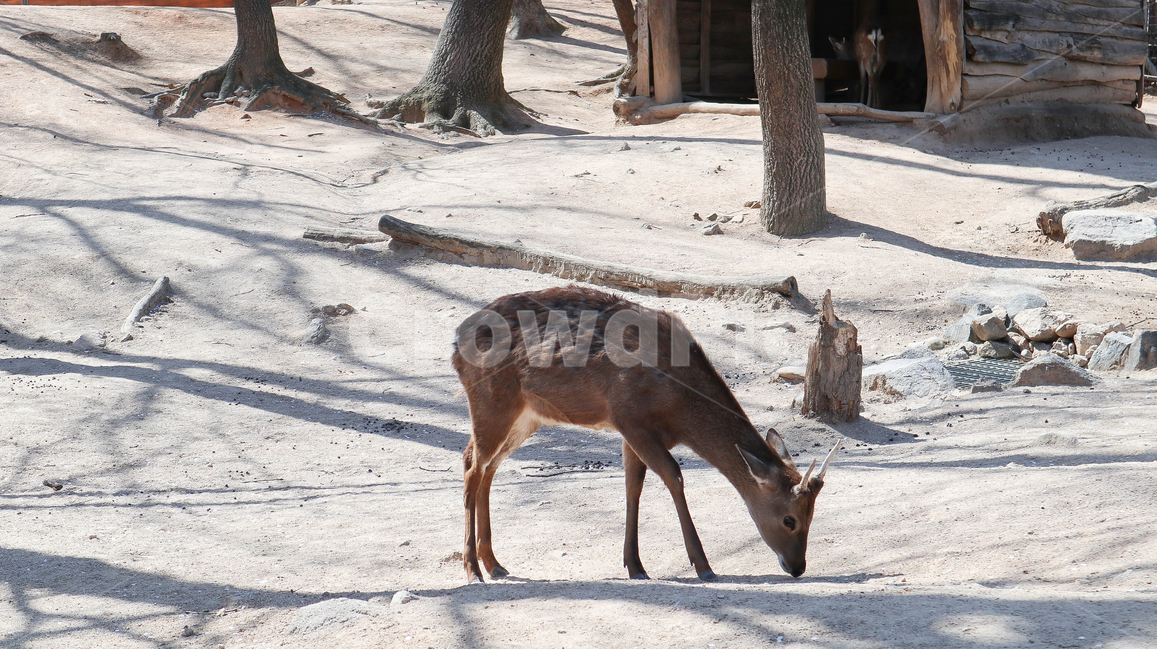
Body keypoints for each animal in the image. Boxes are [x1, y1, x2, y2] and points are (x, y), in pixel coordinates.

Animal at [451, 285, 842, 583]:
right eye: (790, 519)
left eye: (813, 515)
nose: (798, 567)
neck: (680, 407)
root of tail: (455, 342)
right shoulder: (629, 417)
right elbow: (673, 476)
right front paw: (703, 566)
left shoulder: (634, 433)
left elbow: (633, 486)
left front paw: (635, 565)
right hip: (492, 401)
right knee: (472, 466)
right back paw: (473, 569)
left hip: (526, 416)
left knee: (483, 465)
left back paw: (495, 564)